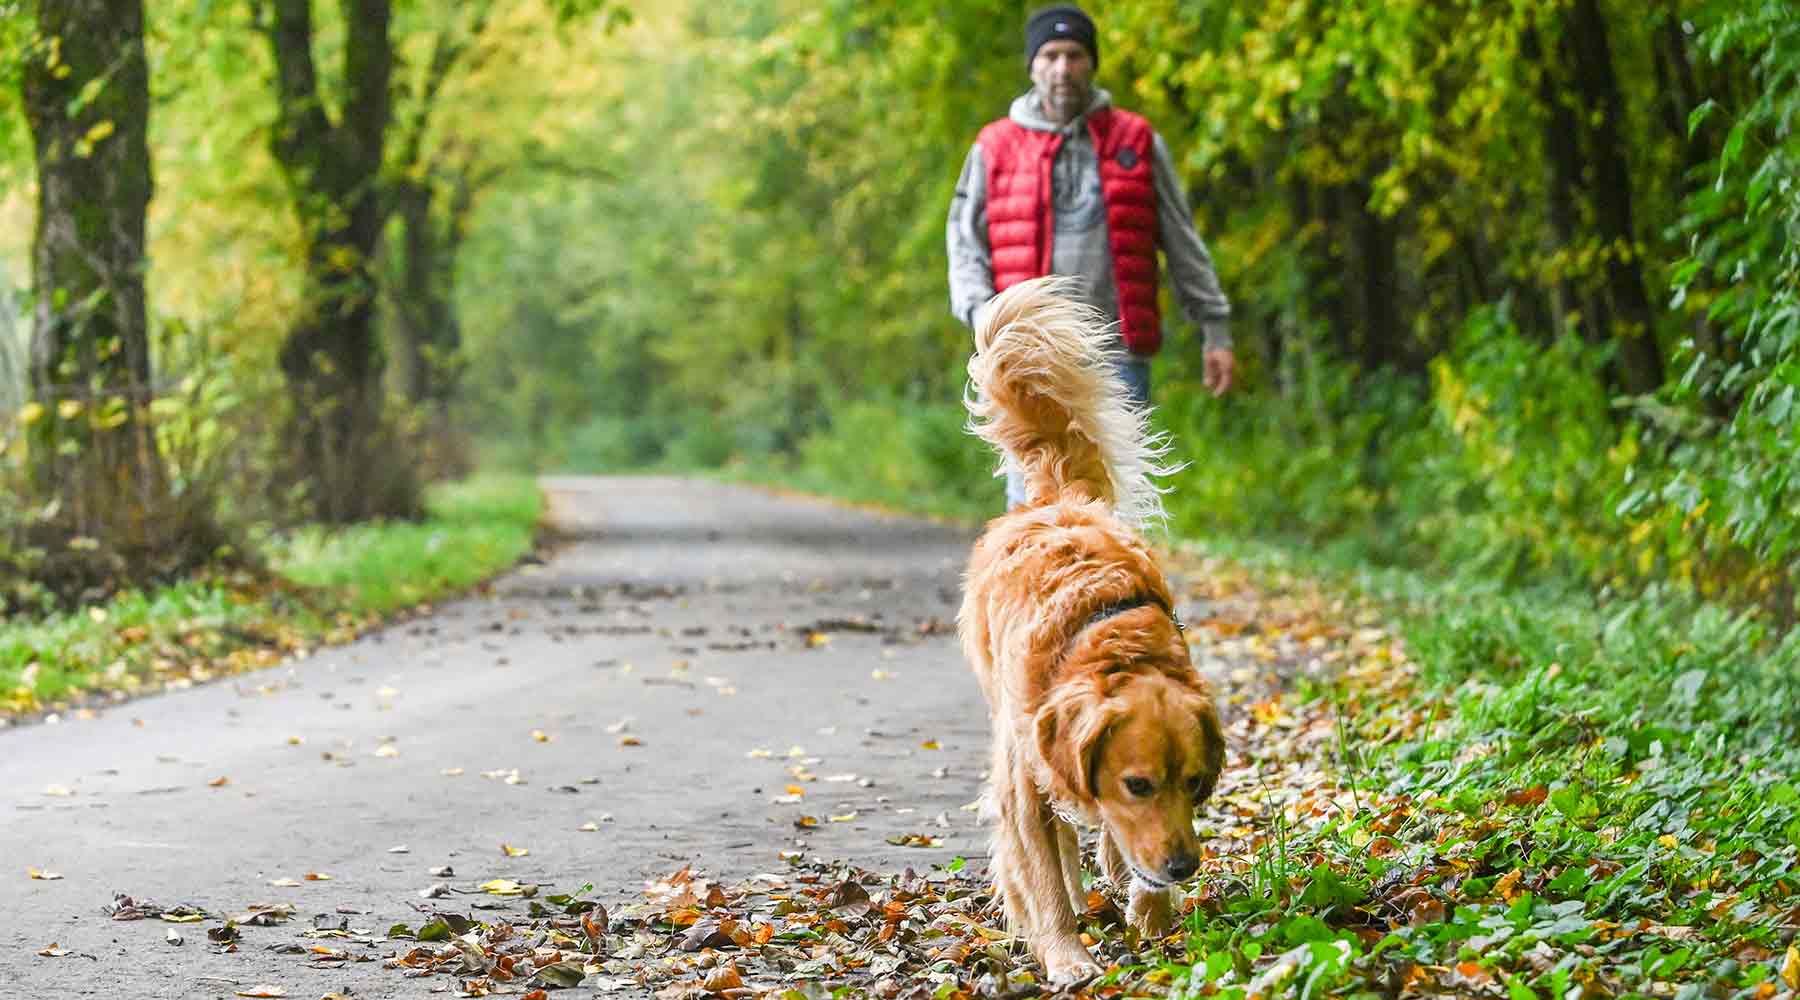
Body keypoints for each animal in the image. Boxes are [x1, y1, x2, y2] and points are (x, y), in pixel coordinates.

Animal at [957, 276, 1224, 978]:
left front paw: (1151, 914)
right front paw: (1066, 956)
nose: (1184, 866)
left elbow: (1123, 849)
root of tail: (1059, 500)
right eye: (1138, 783)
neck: (1107, 645)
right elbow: (1044, 876)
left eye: (1194, 782)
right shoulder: (1021, 781)